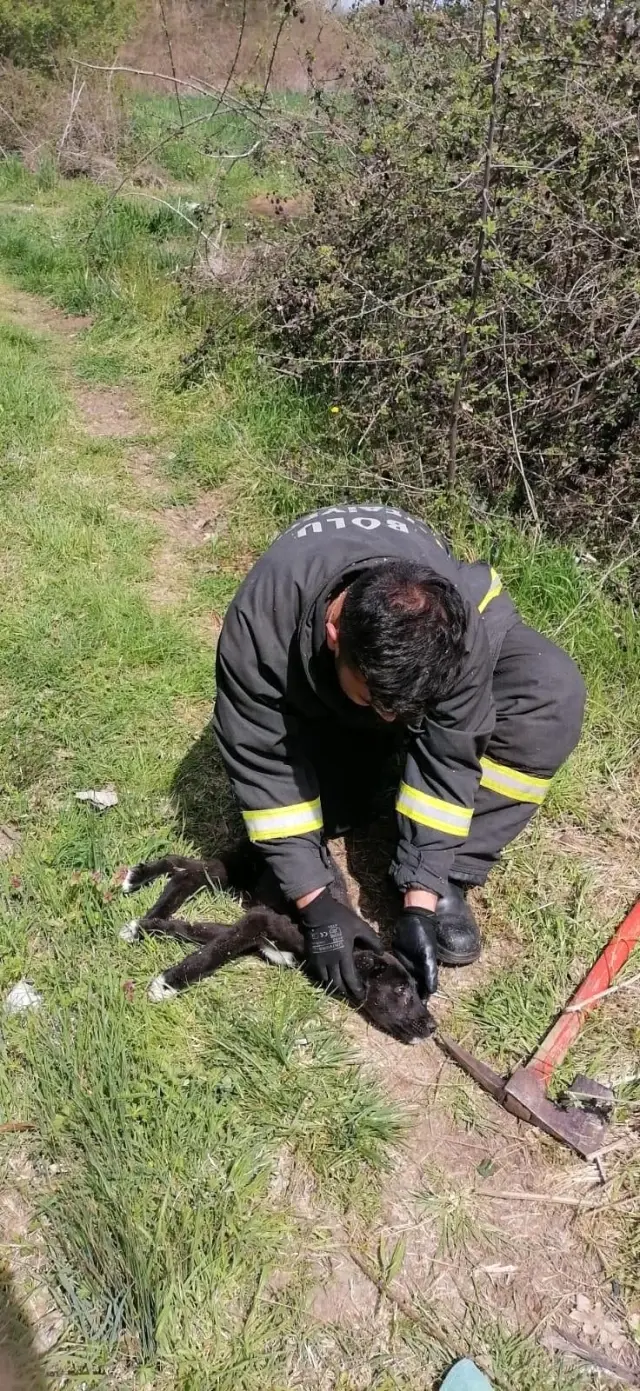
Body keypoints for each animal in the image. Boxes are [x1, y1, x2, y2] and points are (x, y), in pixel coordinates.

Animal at [119, 834, 434, 1046]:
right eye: (401, 990)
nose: (432, 1027)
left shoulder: (254, 932)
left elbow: (197, 931)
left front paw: (148, 928)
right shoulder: (258, 920)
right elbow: (213, 953)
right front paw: (168, 982)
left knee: (184, 866)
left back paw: (143, 884)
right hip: (233, 870)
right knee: (189, 876)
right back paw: (145, 886)